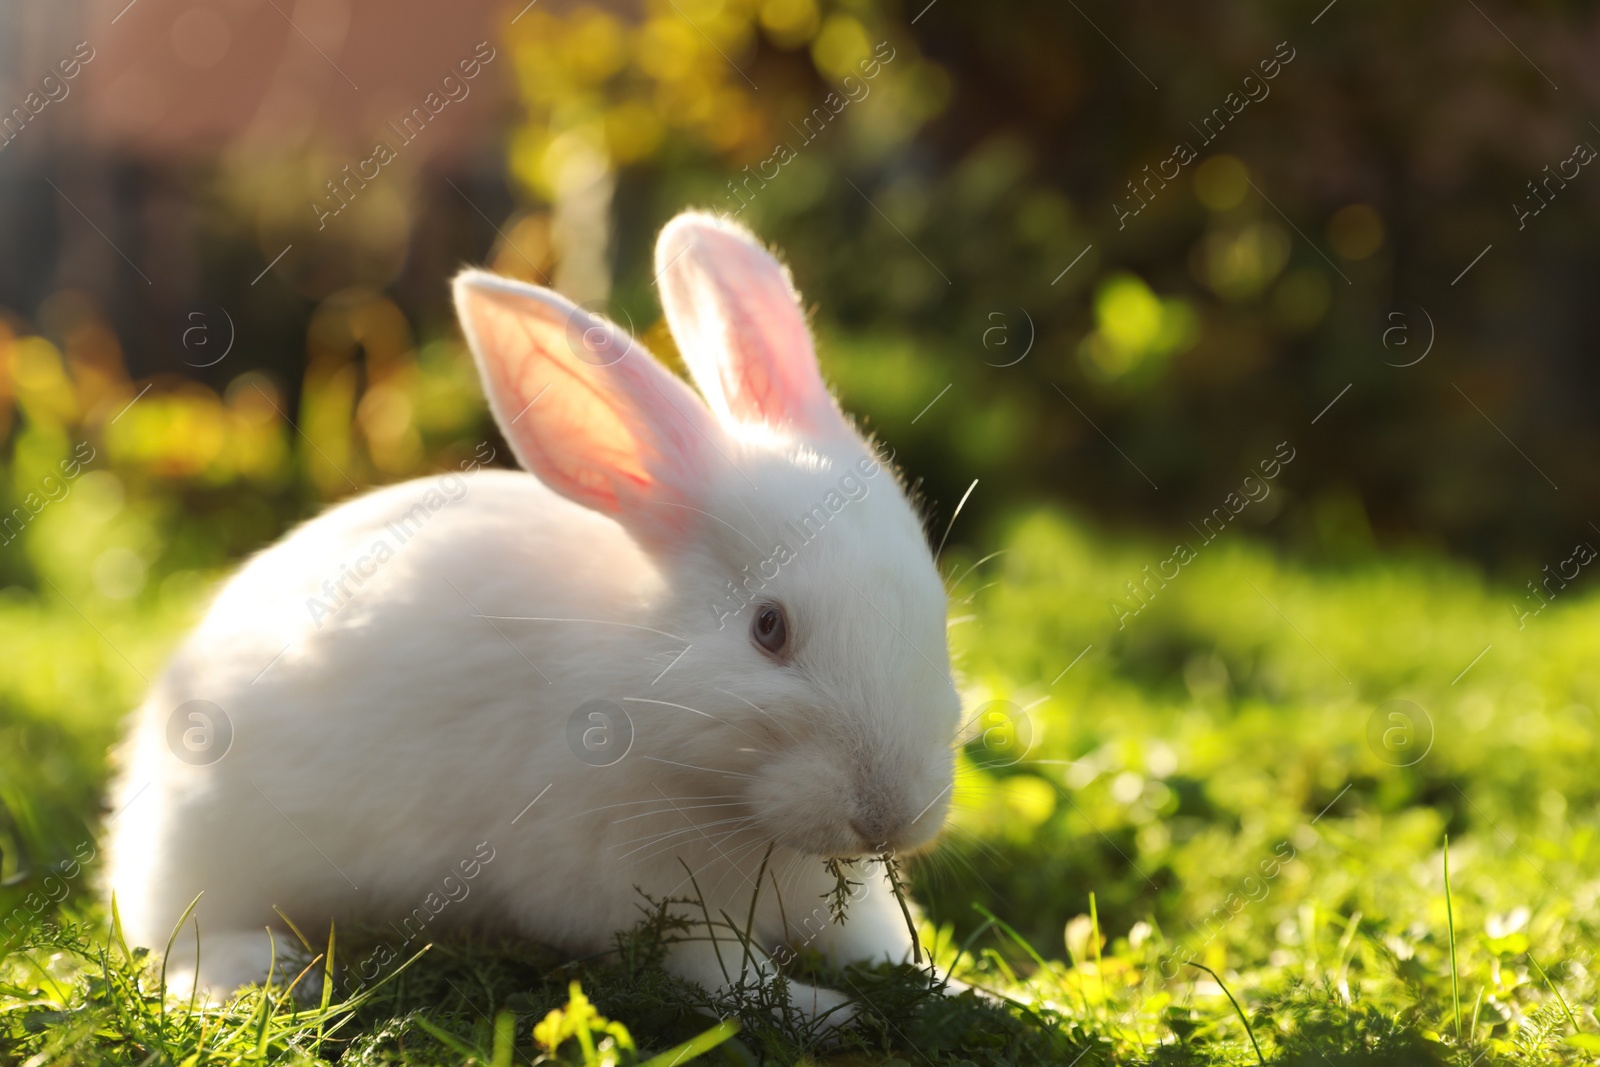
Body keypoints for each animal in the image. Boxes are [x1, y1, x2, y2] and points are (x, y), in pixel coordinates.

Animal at [112, 211, 966, 1023]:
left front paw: (959, 990)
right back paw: (262, 971)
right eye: (768, 628)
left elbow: (875, 942)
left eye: (935, 606)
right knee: (181, 941)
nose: (891, 815)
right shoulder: (639, 891)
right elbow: (727, 975)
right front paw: (830, 1013)